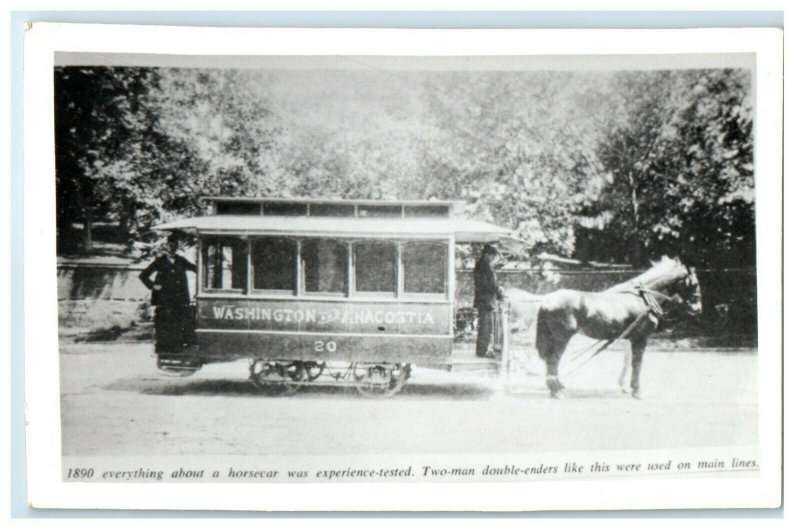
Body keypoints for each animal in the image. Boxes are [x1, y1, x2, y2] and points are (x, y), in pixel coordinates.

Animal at [536, 255, 700, 396]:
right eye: (694, 283)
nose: (697, 309)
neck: (642, 298)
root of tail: (547, 300)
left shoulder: (631, 337)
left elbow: (628, 361)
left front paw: (626, 387)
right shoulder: (640, 338)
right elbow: (637, 363)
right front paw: (637, 391)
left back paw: (557, 387)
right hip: (562, 337)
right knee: (553, 359)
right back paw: (556, 391)